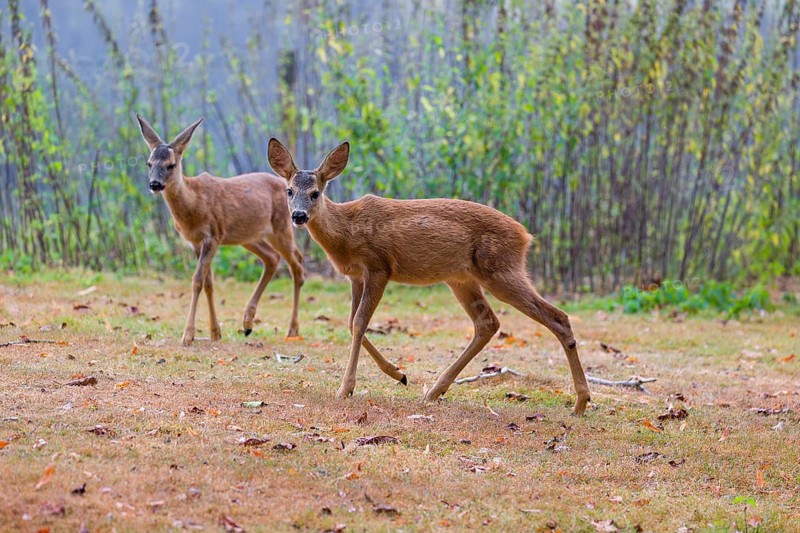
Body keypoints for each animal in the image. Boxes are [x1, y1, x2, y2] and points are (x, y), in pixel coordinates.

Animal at [135, 115, 304, 346]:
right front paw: (215, 332)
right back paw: (247, 323)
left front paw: (188, 335)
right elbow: (208, 283)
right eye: (149, 163)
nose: (154, 184)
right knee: (272, 258)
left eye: (171, 165)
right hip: (248, 236)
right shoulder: (195, 242)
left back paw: (292, 329)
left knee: (297, 264)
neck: (193, 205)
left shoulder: (212, 237)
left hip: (281, 226)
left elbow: (197, 280)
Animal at [266, 139, 591, 415]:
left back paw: (581, 402)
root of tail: (525, 235)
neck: (346, 232)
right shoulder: (355, 276)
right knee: (487, 323)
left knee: (557, 316)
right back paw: (434, 391)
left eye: (315, 193)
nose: (298, 216)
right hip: (461, 278)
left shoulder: (379, 267)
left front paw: (346, 388)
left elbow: (359, 323)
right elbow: (352, 323)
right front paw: (399, 374)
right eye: (289, 191)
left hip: (500, 270)